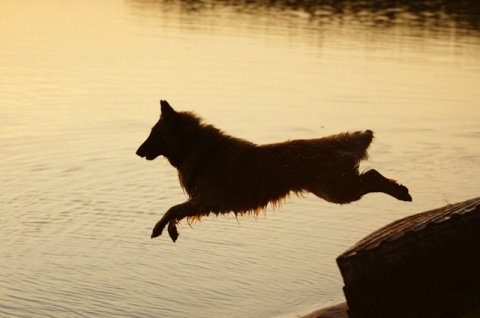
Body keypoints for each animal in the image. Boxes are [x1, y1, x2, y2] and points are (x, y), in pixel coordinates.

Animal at [137, 100, 410, 242]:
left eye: (153, 133)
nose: (138, 152)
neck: (196, 146)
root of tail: (331, 142)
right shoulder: (203, 201)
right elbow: (176, 211)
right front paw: (170, 229)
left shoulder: (208, 199)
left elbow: (173, 209)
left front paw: (159, 228)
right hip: (337, 188)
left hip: (338, 190)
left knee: (372, 175)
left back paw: (401, 192)